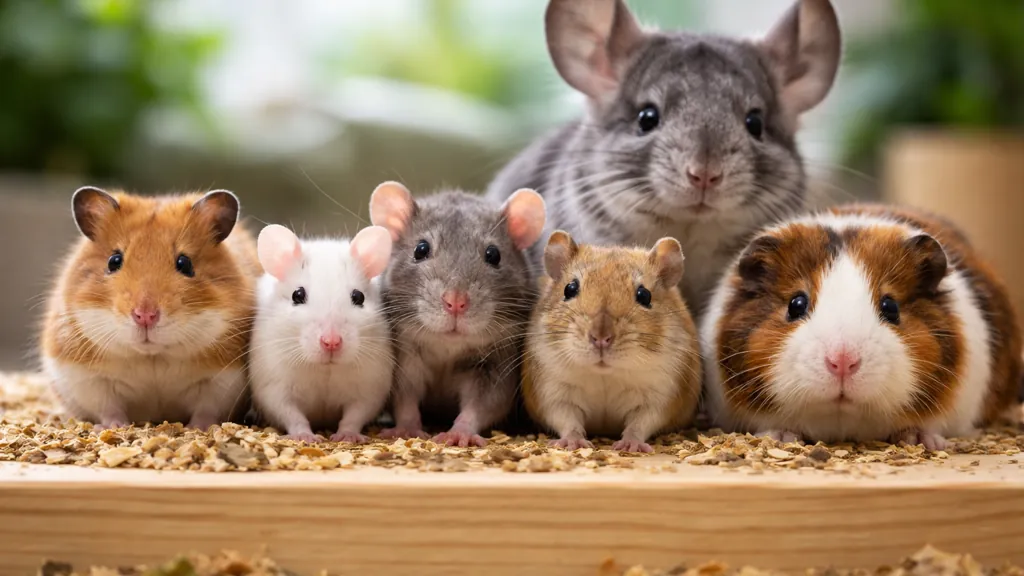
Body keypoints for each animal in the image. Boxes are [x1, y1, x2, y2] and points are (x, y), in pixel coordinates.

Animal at [40, 187, 261, 430]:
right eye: (113, 261)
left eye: (185, 263)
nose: (145, 316)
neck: (153, 355)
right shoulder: (87, 379)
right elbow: (107, 408)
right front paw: (113, 427)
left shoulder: (222, 381)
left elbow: (207, 411)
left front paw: (196, 429)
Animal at [249, 224, 394, 444]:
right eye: (297, 295)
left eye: (358, 297)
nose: (331, 342)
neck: (326, 367)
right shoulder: (273, 388)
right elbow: (293, 415)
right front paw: (306, 438)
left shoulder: (370, 388)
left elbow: (354, 415)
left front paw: (347, 437)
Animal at [369, 182, 546, 447]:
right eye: (421, 249)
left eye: (493, 254)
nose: (455, 302)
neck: (448, 347)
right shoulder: (405, 354)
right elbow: (404, 393)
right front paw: (407, 427)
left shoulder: (497, 361)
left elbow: (487, 401)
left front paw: (460, 431)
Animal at [523, 232, 701, 452]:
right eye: (569, 289)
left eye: (644, 295)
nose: (601, 338)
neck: (605, 374)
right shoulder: (553, 393)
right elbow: (567, 421)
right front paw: (573, 443)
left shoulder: (659, 397)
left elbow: (639, 424)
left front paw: (630, 445)